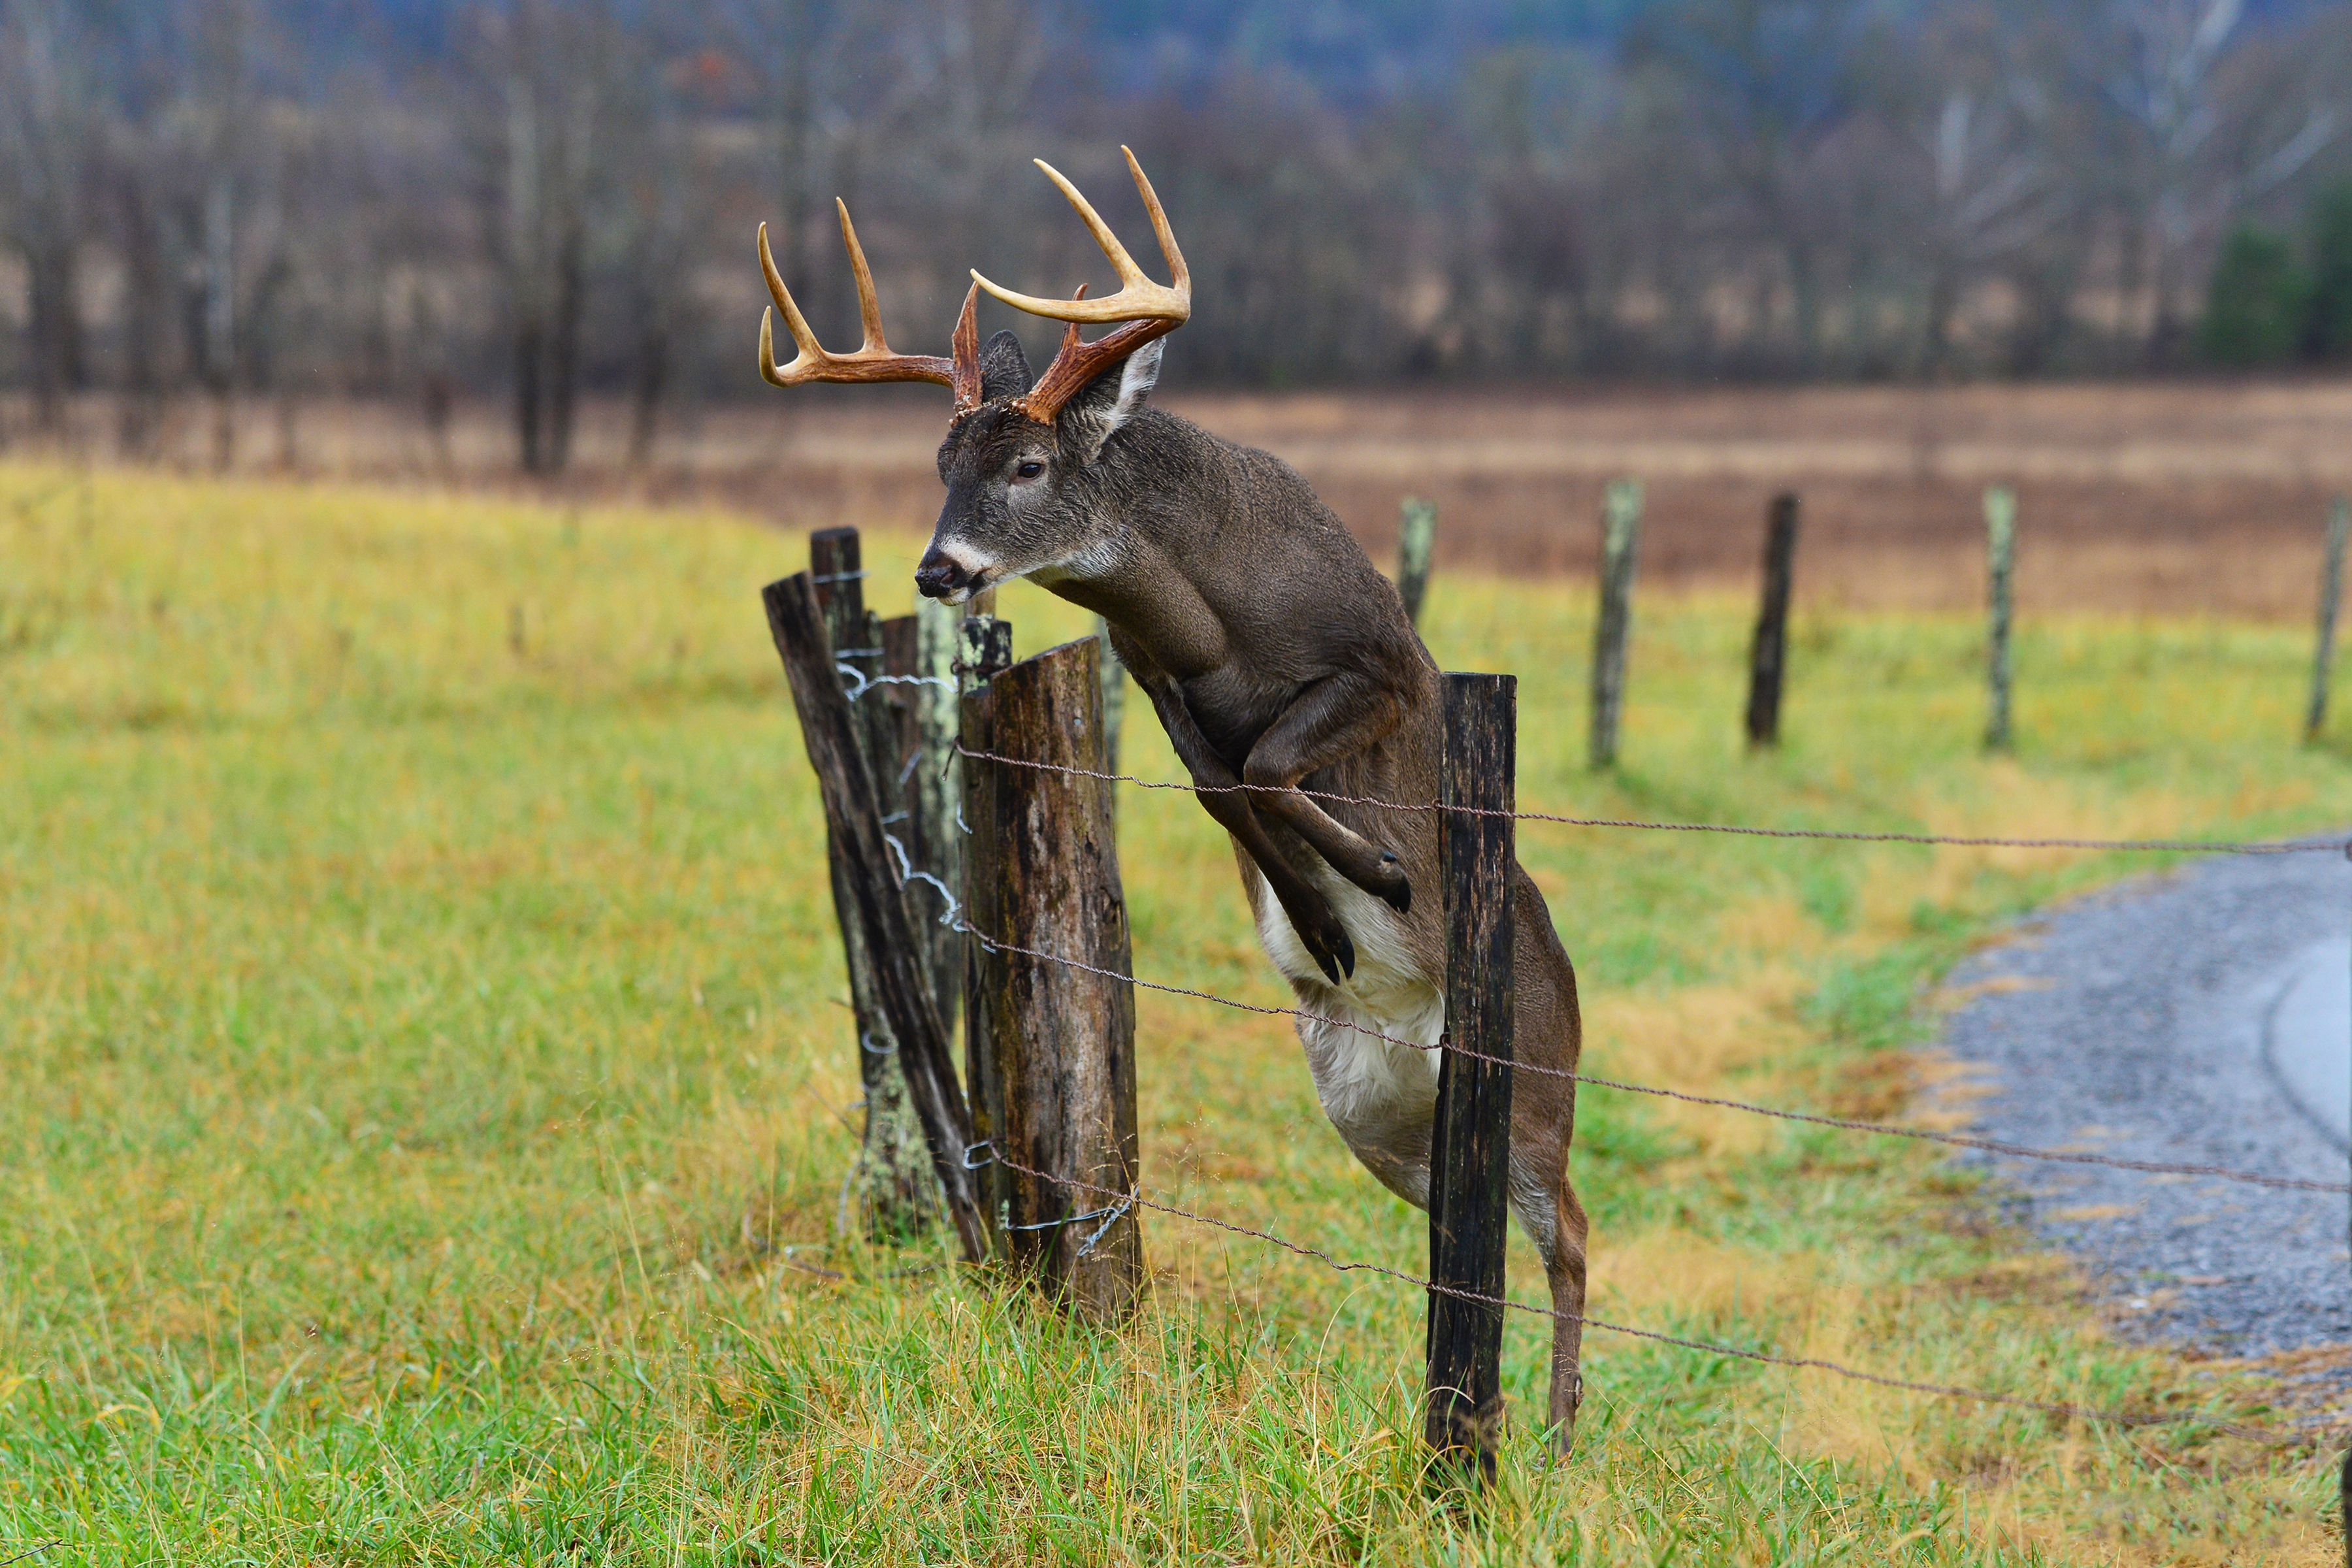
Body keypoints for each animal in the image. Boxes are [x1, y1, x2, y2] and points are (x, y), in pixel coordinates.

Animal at [754, 150, 1590, 1448]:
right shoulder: (1152, 681)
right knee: (1480, 1229)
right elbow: (1221, 788)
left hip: (1538, 1077)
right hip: (1376, 1117)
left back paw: (1556, 1430)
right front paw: (1323, 917)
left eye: (1028, 466)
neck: (1208, 615)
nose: (939, 569)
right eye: (939, 470)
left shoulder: (1384, 665)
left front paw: (1382, 875)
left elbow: (1270, 766)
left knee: (1575, 1236)